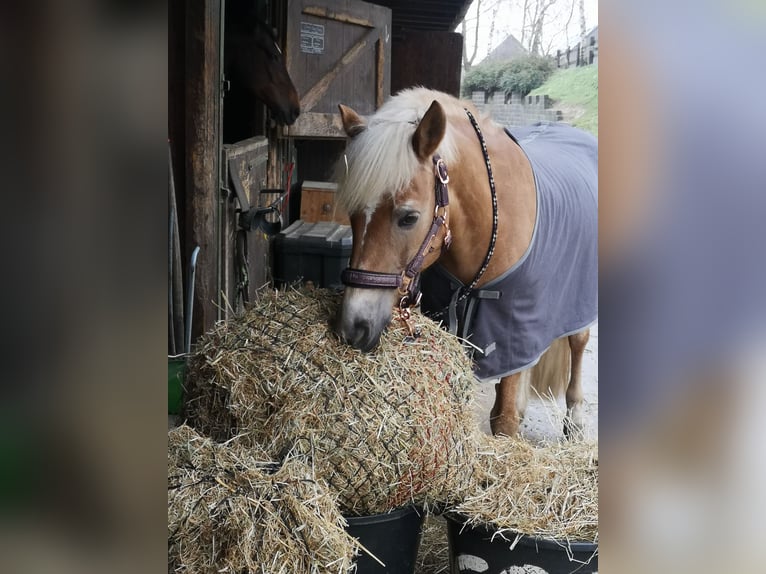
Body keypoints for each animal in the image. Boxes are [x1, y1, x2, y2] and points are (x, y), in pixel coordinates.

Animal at [332, 88, 596, 438]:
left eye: (409, 217)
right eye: (353, 215)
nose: (353, 328)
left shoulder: (514, 333)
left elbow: (504, 422)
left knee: (578, 343)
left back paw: (575, 416)